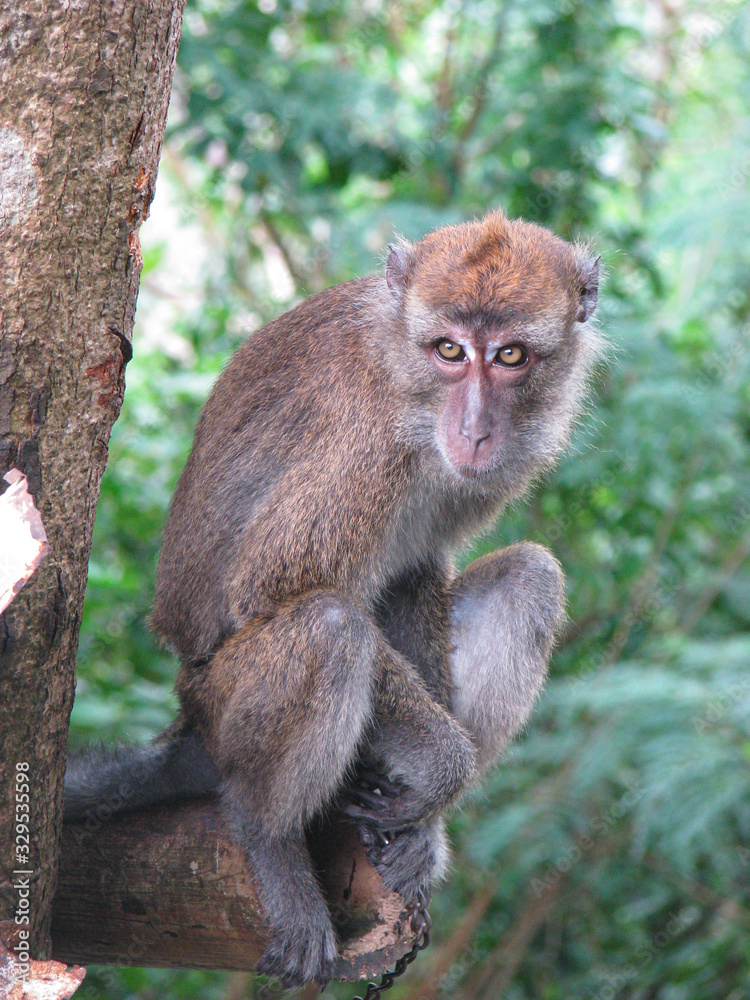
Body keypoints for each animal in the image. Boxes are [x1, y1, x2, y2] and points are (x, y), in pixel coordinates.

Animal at [66, 209, 604, 984]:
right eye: (449, 350)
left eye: (510, 355)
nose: (474, 431)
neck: (410, 386)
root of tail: (189, 727)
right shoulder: (364, 448)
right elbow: (279, 585)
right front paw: (445, 765)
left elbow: (413, 571)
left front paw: (425, 821)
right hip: (221, 706)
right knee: (330, 626)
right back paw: (270, 840)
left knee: (531, 576)